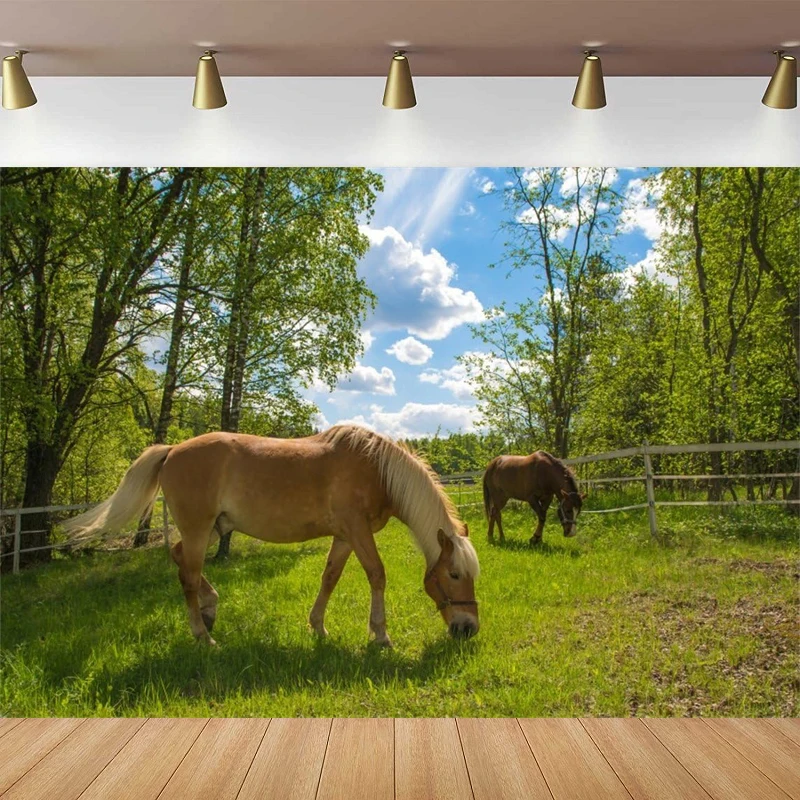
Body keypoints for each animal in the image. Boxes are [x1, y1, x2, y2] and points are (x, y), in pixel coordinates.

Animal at [65, 424, 478, 644]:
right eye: (454, 574)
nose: (468, 628)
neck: (376, 468)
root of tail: (172, 450)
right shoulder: (358, 531)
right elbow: (377, 575)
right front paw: (380, 635)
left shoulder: (345, 536)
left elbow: (329, 577)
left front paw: (319, 627)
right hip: (200, 529)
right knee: (189, 575)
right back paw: (203, 635)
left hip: (213, 529)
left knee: (180, 557)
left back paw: (210, 609)